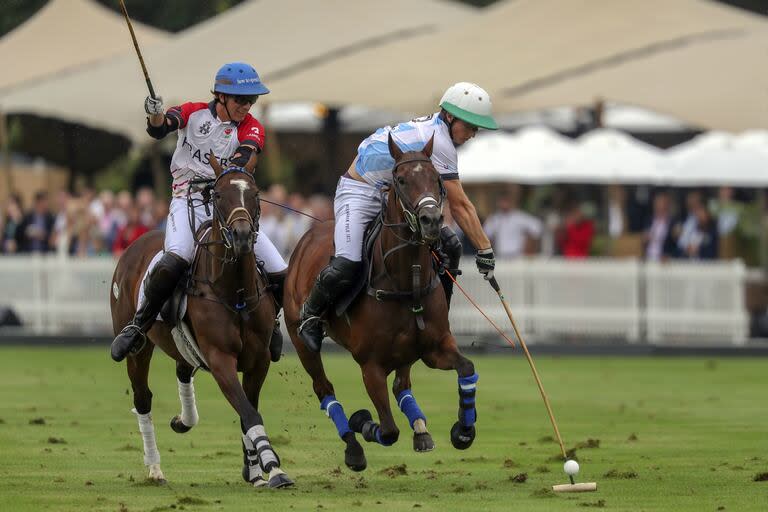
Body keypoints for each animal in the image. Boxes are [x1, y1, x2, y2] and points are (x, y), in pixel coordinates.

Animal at [111, 158, 294, 490]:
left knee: (183, 370)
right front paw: (273, 468)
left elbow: (248, 410)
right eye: (219, 195)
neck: (234, 290)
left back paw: (183, 420)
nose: (242, 236)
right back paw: (154, 469)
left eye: (256, 194)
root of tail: (136, 242)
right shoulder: (221, 358)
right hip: (138, 348)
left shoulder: (259, 360)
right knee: (143, 397)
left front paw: (254, 470)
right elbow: (249, 414)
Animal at [282, 134, 476, 470]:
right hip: (301, 340)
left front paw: (463, 431)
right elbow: (387, 430)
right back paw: (353, 447)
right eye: (401, 179)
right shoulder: (370, 365)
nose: (431, 221)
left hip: (408, 353)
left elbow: (467, 368)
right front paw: (362, 421)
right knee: (324, 388)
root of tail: (306, 238)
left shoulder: (435, 348)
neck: (405, 280)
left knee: (402, 385)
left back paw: (421, 429)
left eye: (436, 178)